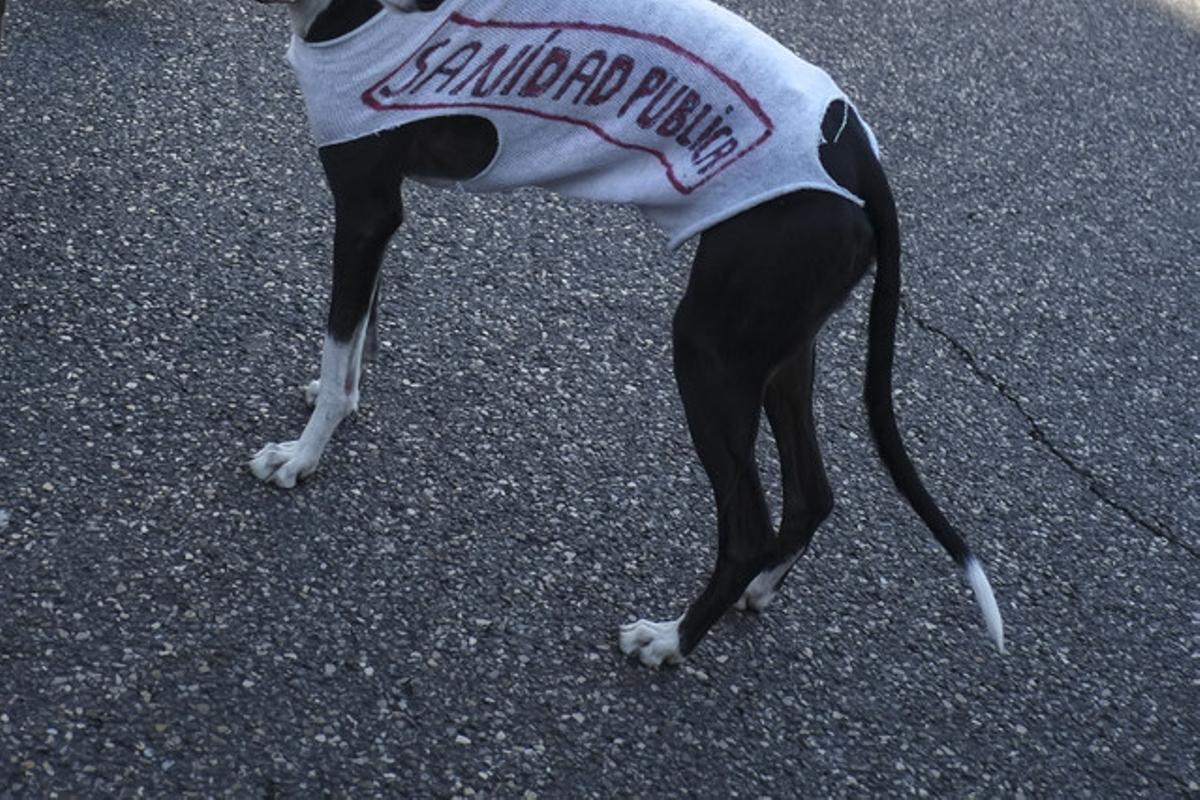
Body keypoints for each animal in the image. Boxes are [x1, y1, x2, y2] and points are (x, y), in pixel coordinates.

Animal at [250, 0, 1003, 671]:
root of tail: (855, 153)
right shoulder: (377, 219)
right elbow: (355, 334)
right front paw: (340, 403)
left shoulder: (365, 208)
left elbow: (341, 338)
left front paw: (303, 455)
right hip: (780, 346)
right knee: (811, 495)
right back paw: (756, 593)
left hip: (708, 348)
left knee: (748, 530)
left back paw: (670, 641)